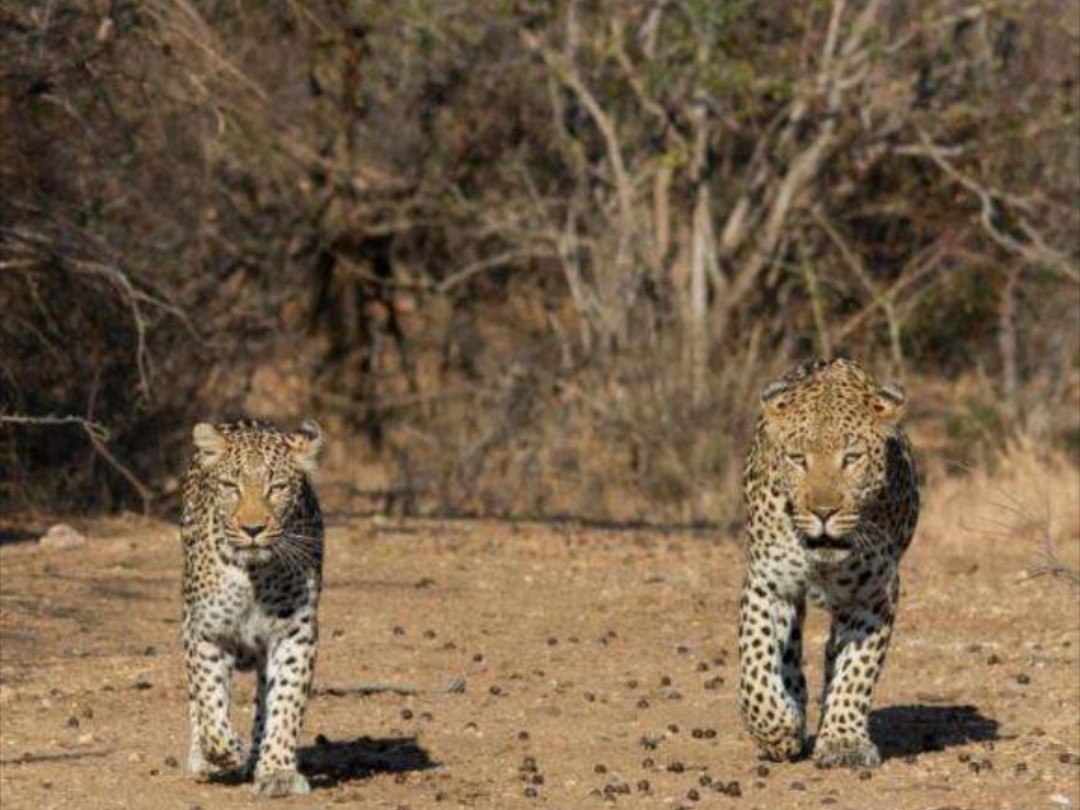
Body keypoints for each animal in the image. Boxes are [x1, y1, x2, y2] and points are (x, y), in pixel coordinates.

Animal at [179, 419, 324, 799]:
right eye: (232, 486)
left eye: (277, 487)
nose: (253, 529)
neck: (253, 574)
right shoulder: (207, 634)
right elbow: (210, 706)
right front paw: (227, 752)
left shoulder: (295, 633)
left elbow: (285, 703)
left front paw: (277, 771)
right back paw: (203, 758)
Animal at [738, 358, 924, 768]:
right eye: (798, 459)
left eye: (851, 458)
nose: (824, 512)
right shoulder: (767, 582)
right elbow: (756, 663)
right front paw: (777, 728)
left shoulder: (874, 595)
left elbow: (856, 671)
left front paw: (843, 740)